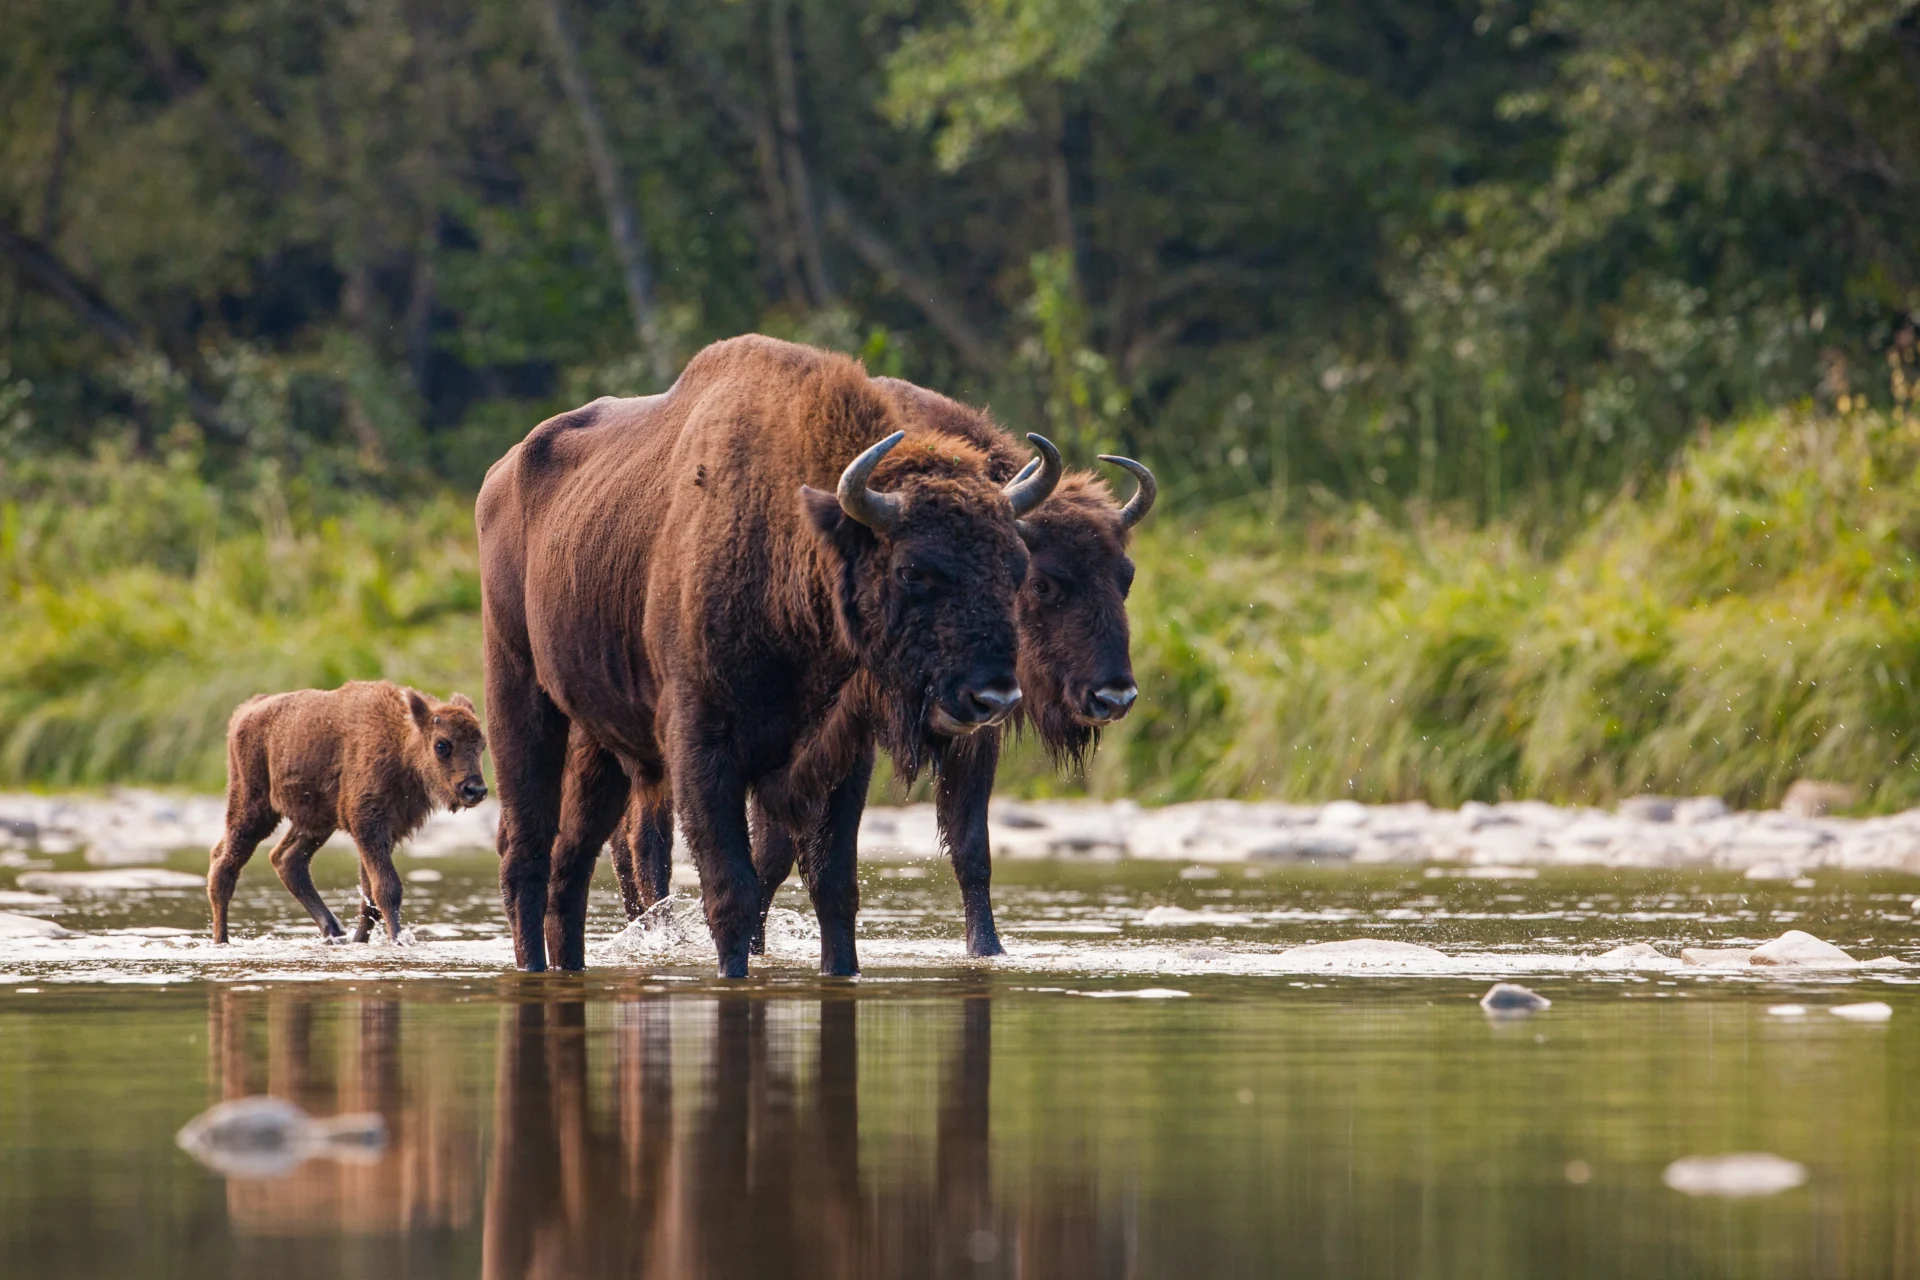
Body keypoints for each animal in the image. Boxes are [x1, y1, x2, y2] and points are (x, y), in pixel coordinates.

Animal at [476, 336, 1059, 975]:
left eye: (1017, 566)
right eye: (911, 569)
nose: (994, 696)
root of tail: (500, 475)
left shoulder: (839, 757)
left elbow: (833, 886)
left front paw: (842, 970)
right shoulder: (703, 750)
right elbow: (732, 890)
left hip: (599, 743)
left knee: (571, 860)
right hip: (517, 691)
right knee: (525, 850)